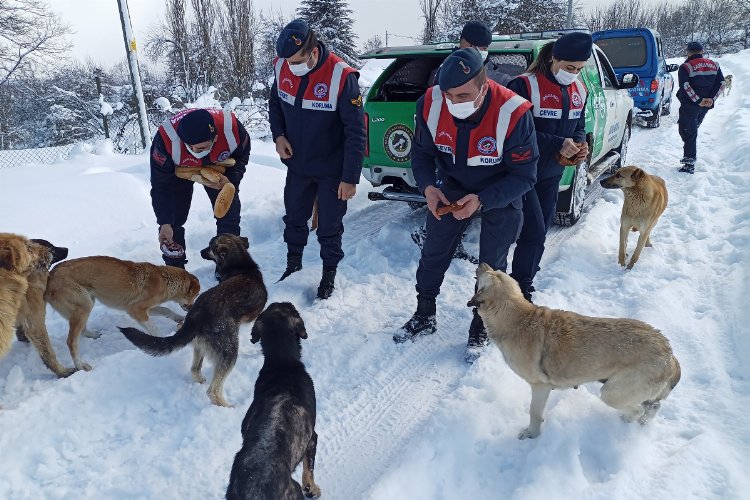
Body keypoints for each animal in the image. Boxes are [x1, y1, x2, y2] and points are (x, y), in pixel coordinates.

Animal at [45, 256, 201, 370]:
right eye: (195, 295)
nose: (192, 307)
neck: (164, 279)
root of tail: (50, 277)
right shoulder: (136, 309)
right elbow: (154, 328)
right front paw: (159, 339)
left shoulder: (144, 308)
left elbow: (166, 310)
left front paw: (180, 318)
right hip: (84, 305)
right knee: (71, 341)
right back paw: (80, 364)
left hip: (87, 303)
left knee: (82, 331)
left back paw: (93, 335)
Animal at [119, 234, 268, 406]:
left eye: (209, 247)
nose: (201, 251)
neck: (240, 265)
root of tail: (196, 315)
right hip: (229, 351)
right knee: (213, 391)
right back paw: (227, 406)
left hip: (200, 345)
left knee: (194, 370)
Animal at [223, 302, 318, 498]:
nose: (286, 302)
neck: (281, 362)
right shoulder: (312, 438)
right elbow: (309, 470)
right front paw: (312, 489)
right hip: (293, 490)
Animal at [472, 264, 684, 440]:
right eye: (497, 271)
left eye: (487, 275)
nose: (481, 263)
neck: (517, 318)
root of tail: (670, 354)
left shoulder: (540, 386)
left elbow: (534, 413)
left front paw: (532, 434)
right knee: (652, 407)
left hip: (612, 393)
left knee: (637, 410)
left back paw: (625, 421)